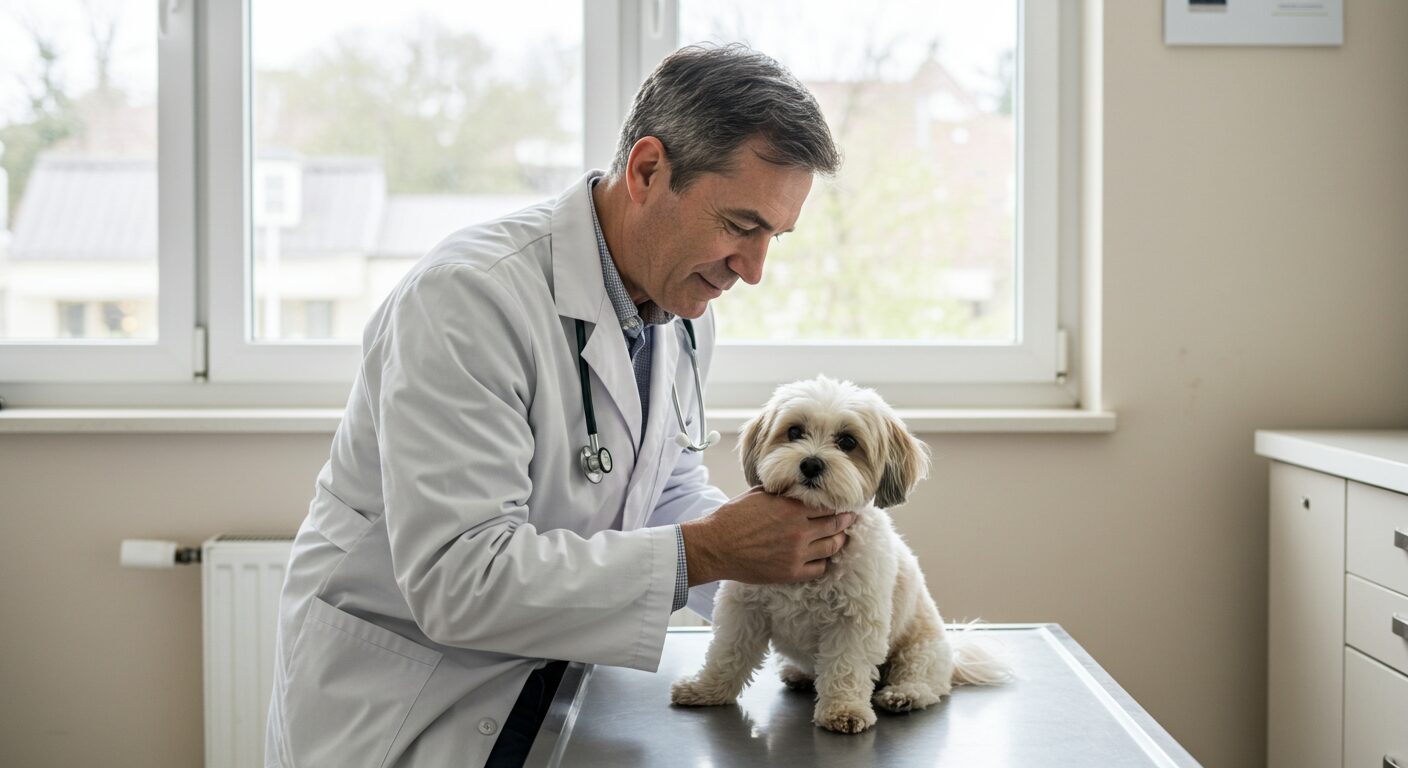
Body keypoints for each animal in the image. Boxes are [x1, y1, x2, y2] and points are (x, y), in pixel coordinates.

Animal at [673, 374, 1013, 732]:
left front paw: (844, 710)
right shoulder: (743, 608)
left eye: (848, 442)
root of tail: (955, 654)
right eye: (794, 432)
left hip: (921, 649)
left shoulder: (854, 621)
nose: (811, 463)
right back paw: (799, 674)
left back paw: (903, 694)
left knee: (925, 681)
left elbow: (845, 667)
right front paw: (706, 690)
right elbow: (727, 653)